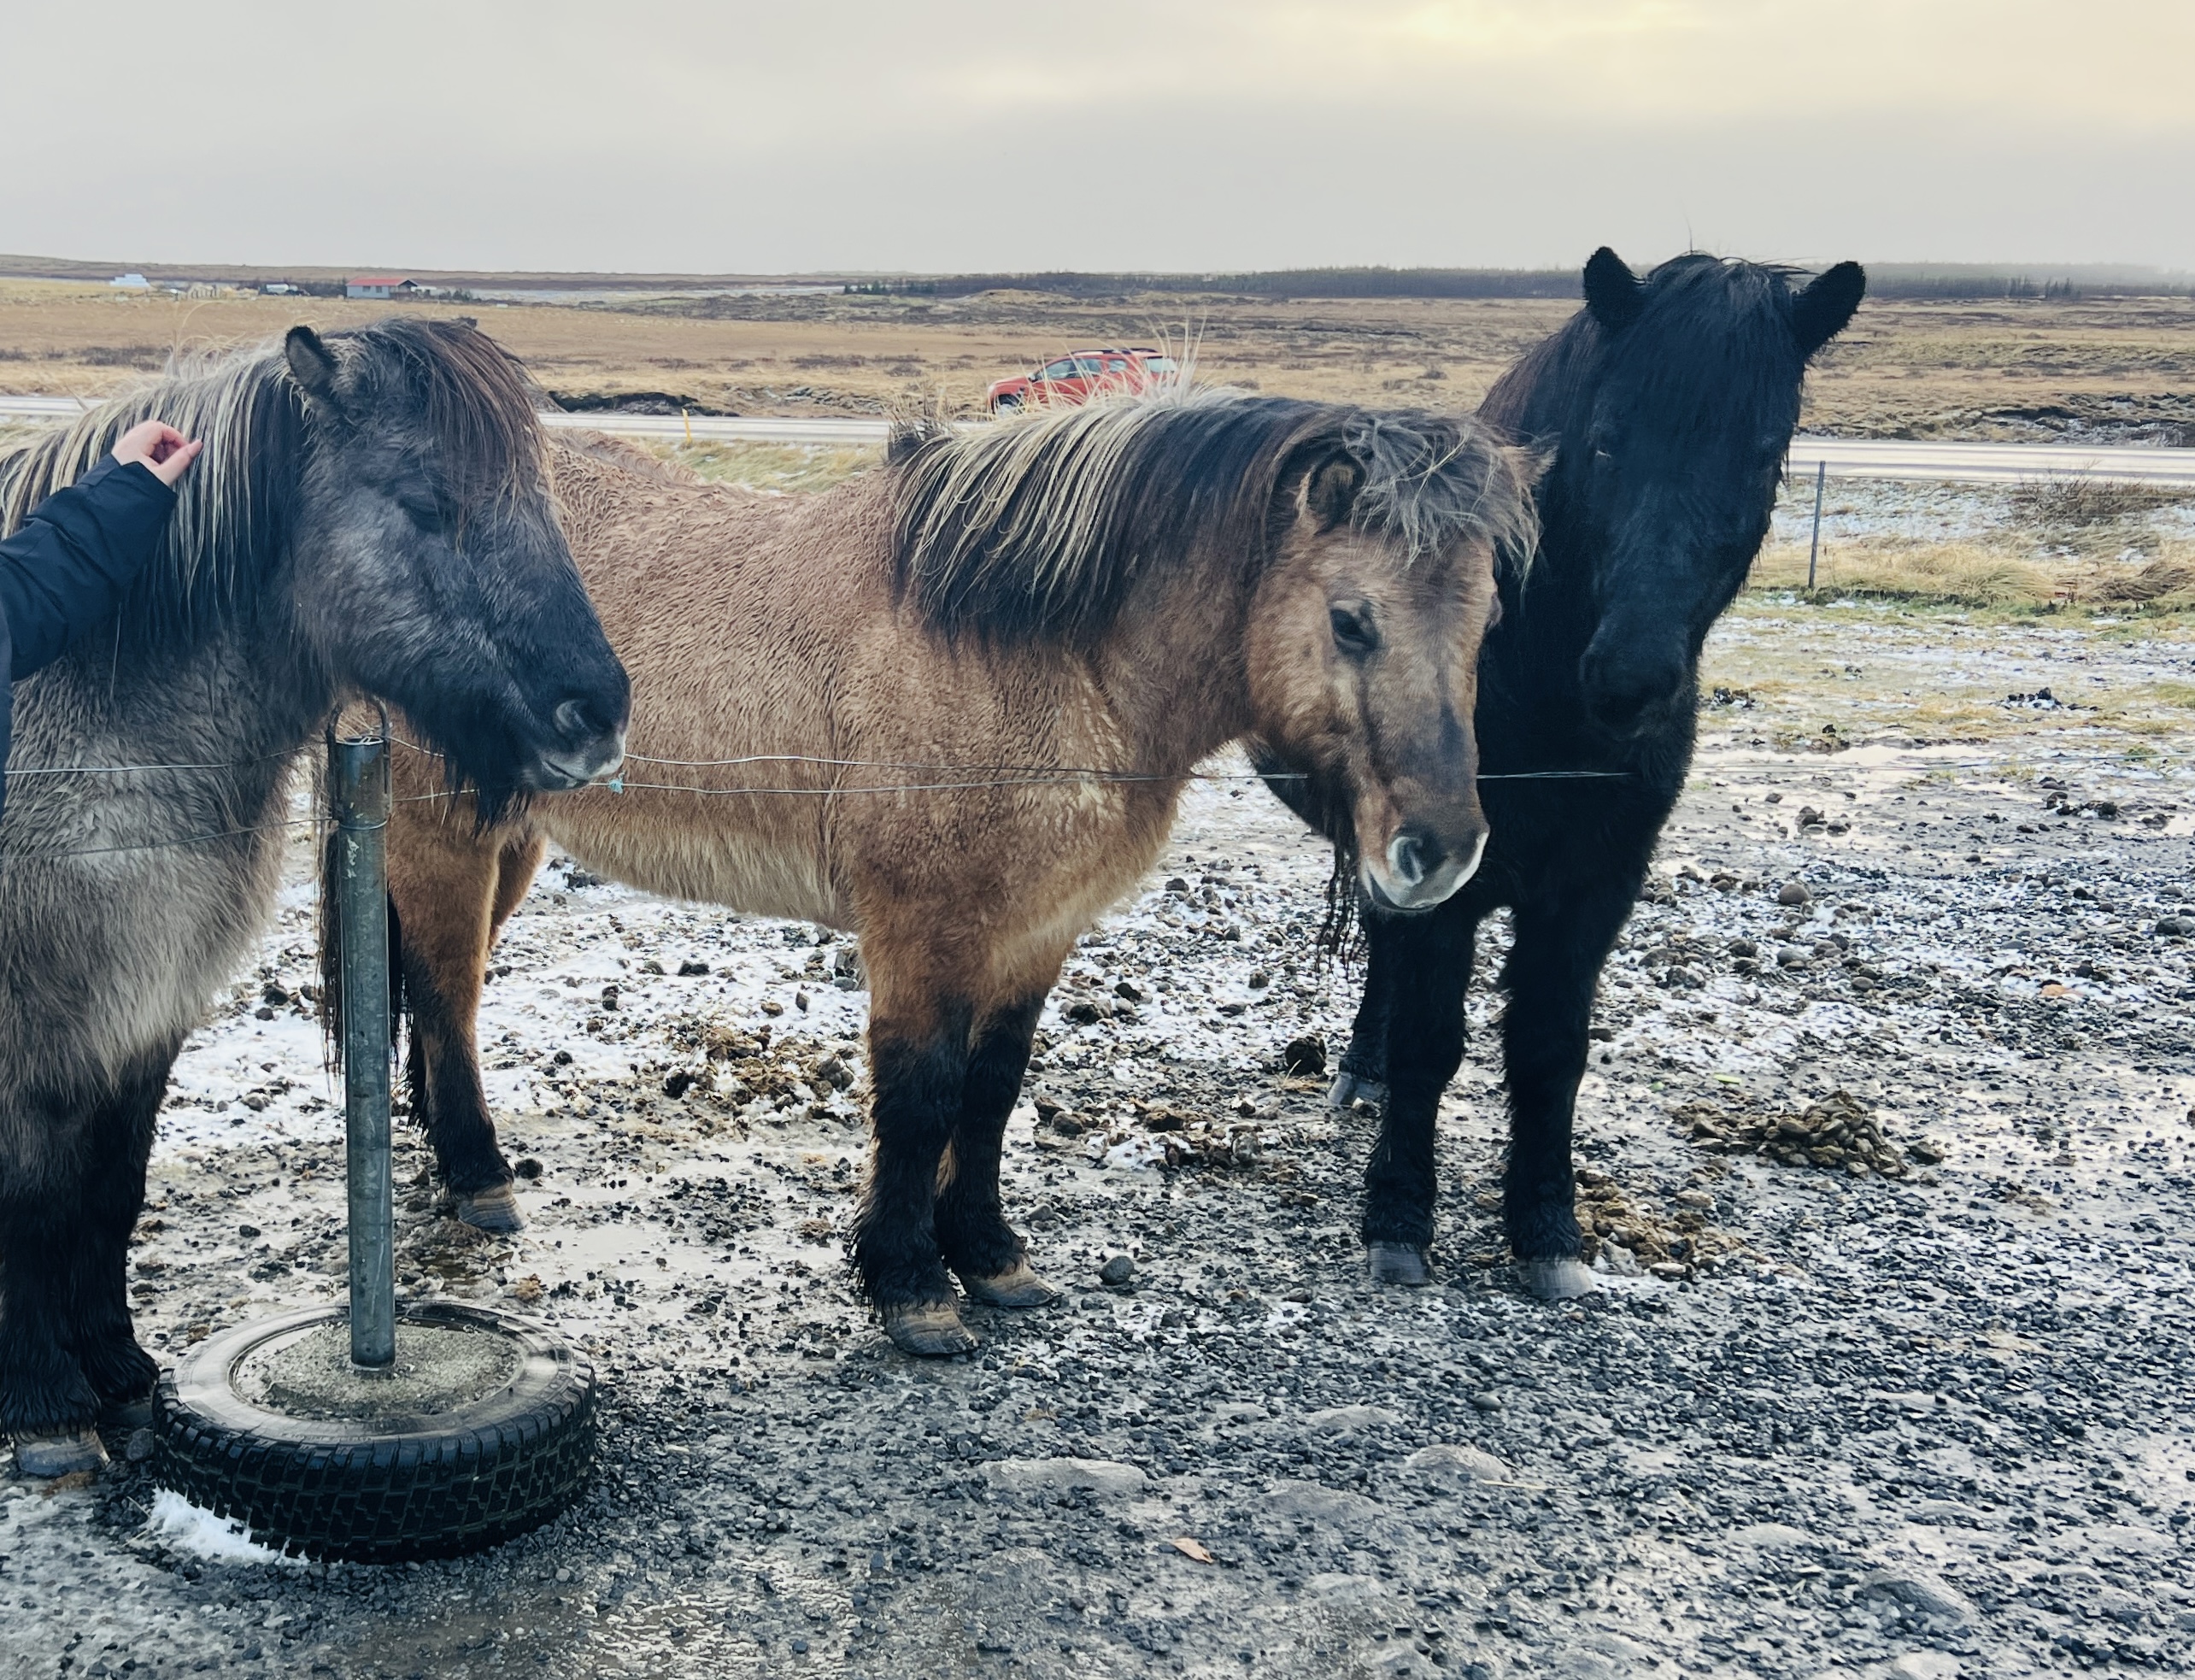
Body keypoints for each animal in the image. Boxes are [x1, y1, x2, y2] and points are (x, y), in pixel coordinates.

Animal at [0, 320, 630, 1476]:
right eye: (426, 502)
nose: (599, 713)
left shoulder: (147, 1013)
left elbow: (109, 1190)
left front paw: (119, 1371)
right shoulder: (43, 1023)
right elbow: (32, 1198)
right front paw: (44, 1406)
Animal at [368, 390, 1542, 1356]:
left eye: (1488, 619)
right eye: (1351, 618)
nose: (1442, 849)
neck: (1031, 652)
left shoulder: (1035, 931)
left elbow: (990, 1091)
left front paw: (987, 1255)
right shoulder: (923, 929)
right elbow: (921, 1093)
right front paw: (910, 1283)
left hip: (512, 841)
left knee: (437, 991)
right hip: (442, 834)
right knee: (444, 989)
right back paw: (478, 1176)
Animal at [1259, 250, 1865, 1297]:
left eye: (1761, 451)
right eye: (1606, 441)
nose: (1629, 678)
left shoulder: (1595, 885)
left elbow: (1550, 1049)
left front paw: (1547, 1229)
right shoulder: (1446, 884)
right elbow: (1430, 1043)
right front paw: (1397, 1218)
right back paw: (1362, 1073)